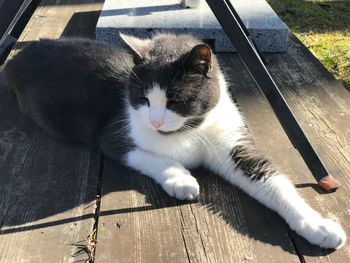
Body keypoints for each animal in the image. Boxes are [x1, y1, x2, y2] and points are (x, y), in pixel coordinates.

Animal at [4, 32, 346, 250]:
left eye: (175, 100)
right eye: (143, 99)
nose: (155, 121)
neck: (189, 131)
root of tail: (19, 56)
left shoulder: (232, 142)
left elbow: (272, 181)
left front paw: (318, 226)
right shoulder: (113, 134)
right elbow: (150, 156)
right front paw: (181, 179)